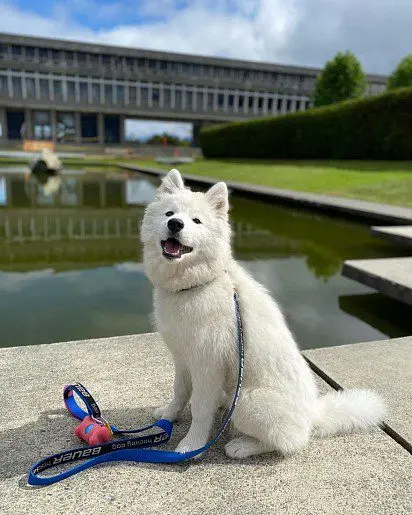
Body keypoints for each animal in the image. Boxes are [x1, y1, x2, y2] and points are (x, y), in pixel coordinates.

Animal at [142, 169, 386, 460]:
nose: (175, 225)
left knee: (293, 441)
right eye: (169, 213)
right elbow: (179, 392)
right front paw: (168, 417)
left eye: (196, 221)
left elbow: (200, 409)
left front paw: (192, 447)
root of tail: (313, 415)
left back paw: (242, 446)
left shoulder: (207, 365)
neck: (194, 285)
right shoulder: (182, 357)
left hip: (245, 401)